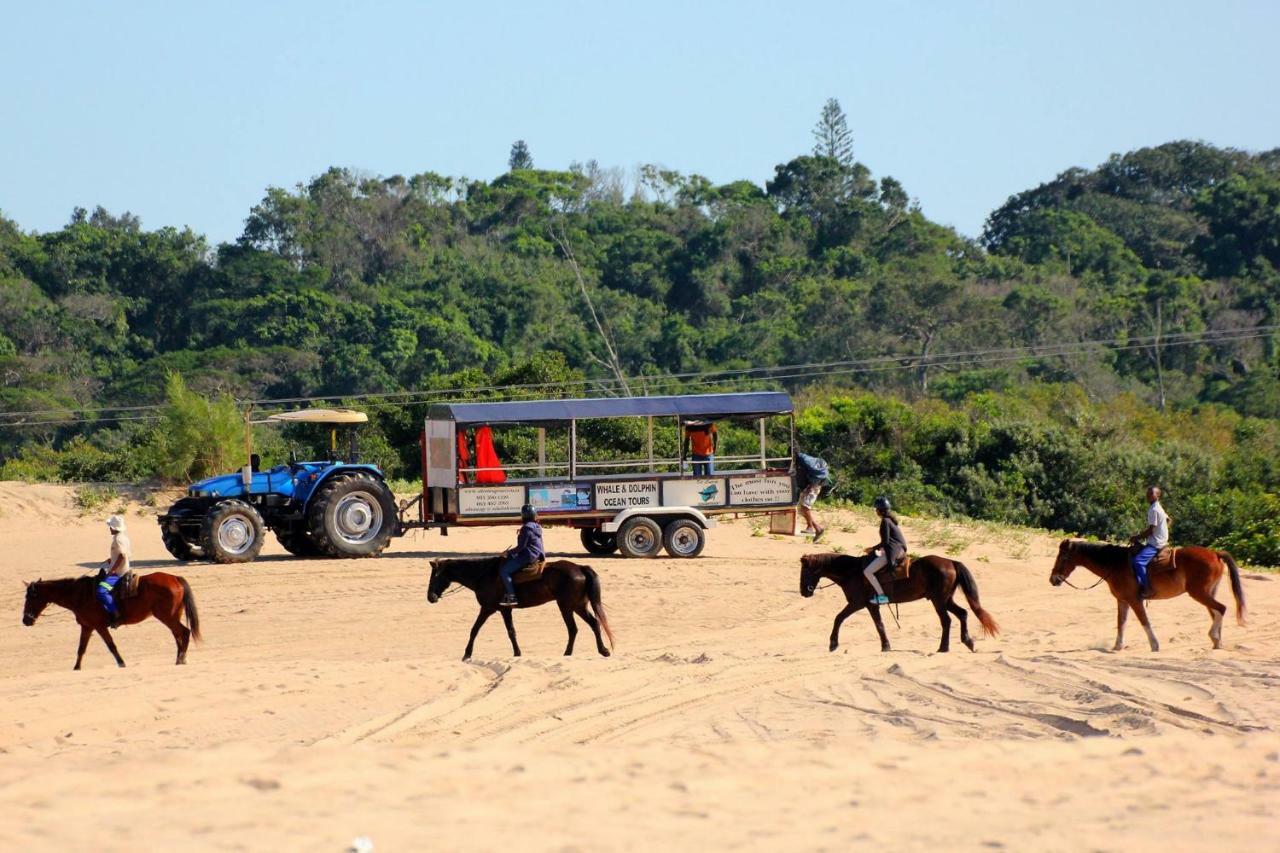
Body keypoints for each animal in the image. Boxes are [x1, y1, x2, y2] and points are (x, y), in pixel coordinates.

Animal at [21, 571, 202, 671]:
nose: (25, 620)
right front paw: (76, 668)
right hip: (172, 616)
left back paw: (181, 659)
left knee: (184, 632)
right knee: (178, 635)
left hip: (167, 616)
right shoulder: (87, 627)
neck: (79, 595)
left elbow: (111, 646)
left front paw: (121, 663)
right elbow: (81, 649)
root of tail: (175, 578)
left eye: (30, 597)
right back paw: (180, 659)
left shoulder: (100, 626)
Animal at [424, 555, 614, 660]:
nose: (430, 597)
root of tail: (580, 568)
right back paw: (603, 650)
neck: (483, 574)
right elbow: (509, 631)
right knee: (593, 624)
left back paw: (569, 652)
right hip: (578, 605)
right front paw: (517, 653)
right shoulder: (502, 610)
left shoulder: (489, 608)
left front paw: (467, 654)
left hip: (567, 606)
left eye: (435, 576)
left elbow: (476, 630)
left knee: (573, 628)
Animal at [798, 550, 998, 650]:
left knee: (947, 621)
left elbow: (839, 618)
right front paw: (886, 645)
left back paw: (944, 647)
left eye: (805, 571)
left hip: (939, 601)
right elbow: (879, 625)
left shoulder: (857, 603)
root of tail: (950, 562)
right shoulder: (871, 606)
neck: (852, 572)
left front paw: (833, 643)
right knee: (962, 614)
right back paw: (967, 641)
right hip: (946, 600)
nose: (803, 592)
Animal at [1044, 537, 1244, 650]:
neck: (1115, 564)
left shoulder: (1134, 600)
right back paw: (1217, 641)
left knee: (1221, 609)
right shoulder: (1122, 600)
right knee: (1216, 612)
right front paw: (1118, 646)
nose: (1053, 579)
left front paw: (1154, 645)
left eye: (1062, 557)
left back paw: (1214, 636)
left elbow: (1144, 622)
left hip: (1199, 593)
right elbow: (1121, 623)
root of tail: (1215, 554)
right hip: (1208, 592)